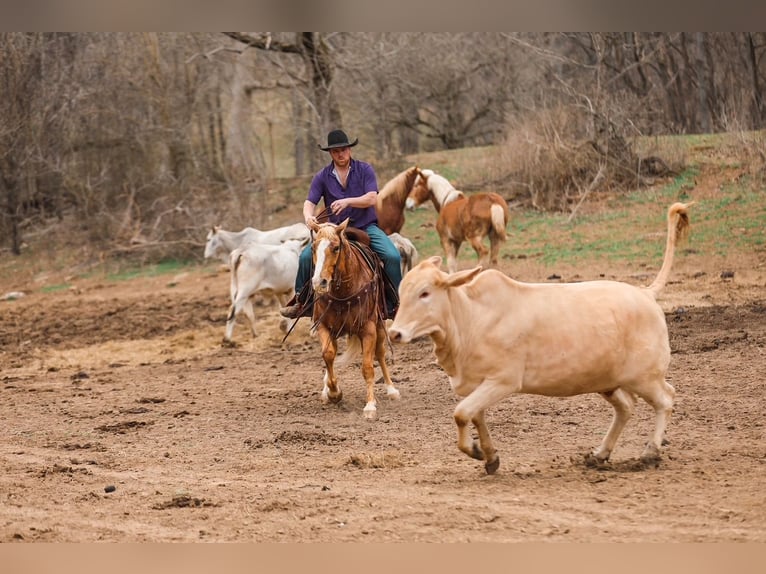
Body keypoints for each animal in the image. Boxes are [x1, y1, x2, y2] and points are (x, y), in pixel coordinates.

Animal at [307, 218, 400, 420]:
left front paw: (370, 405)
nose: (319, 282)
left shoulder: (368, 329)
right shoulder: (323, 326)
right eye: (313, 247)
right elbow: (328, 355)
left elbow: (367, 367)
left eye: (335, 248)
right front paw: (334, 392)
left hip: (380, 326)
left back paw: (391, 389)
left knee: (380, 354)